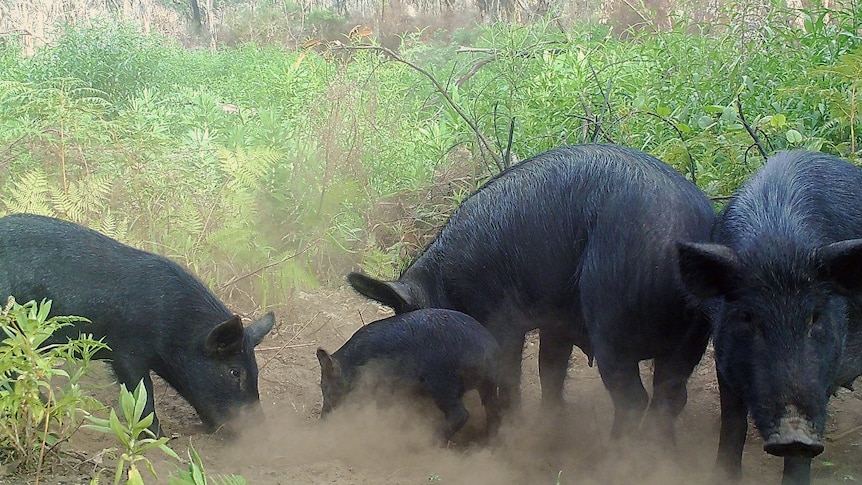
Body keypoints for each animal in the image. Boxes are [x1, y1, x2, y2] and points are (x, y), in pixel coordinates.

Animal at [0, 214, 274, 432]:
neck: (174, 328)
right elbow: (142, 393)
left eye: (256, 369)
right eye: (234, 371)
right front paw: (158, 437)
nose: (260, 430)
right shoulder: (126, 351)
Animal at [318, 308, 502, 440]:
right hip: (488, 384)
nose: (323, 418)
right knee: (493, 410)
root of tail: (487, 351)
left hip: (442, 382)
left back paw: (430, 442)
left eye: (326, 387)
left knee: (460, 414)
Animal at [346, 145, 716, 438]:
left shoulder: (503, 318)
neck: (447, 286)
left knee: (633, 399)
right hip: (691, 340)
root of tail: (683, 235)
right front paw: (548, 425)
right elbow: (549, 371)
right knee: (670, 398)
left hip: (613, 318)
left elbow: (511, 374)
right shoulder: (557, 322)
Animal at [680, 149, 862, 482]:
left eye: (815, 317)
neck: (778, 245)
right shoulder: (722, 356)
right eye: (748, 317)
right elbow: (733, 423)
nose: (794, 432)